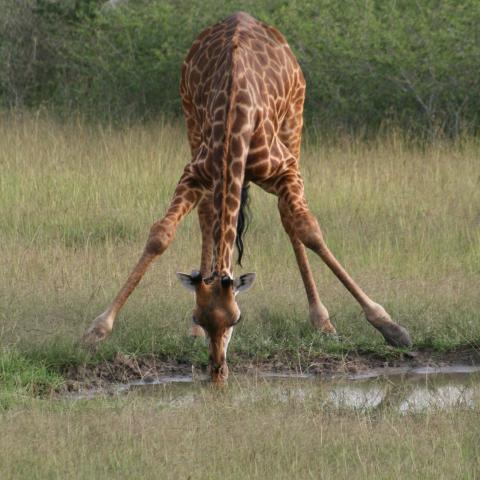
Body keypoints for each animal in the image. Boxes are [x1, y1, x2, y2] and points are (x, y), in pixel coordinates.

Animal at [83, 12, 412, 382]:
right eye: (199, 316)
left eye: (237, 319)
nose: (217, 372)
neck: (233, 127)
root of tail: (244, 16)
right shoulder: (194, 172)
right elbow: (160, 235)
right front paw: (97, 330)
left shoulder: (285, 169)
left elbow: (309, 230)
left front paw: (389, 325)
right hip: (191, 123)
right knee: (207, 216)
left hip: (294, 125)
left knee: (288, 218)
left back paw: (321, 320)